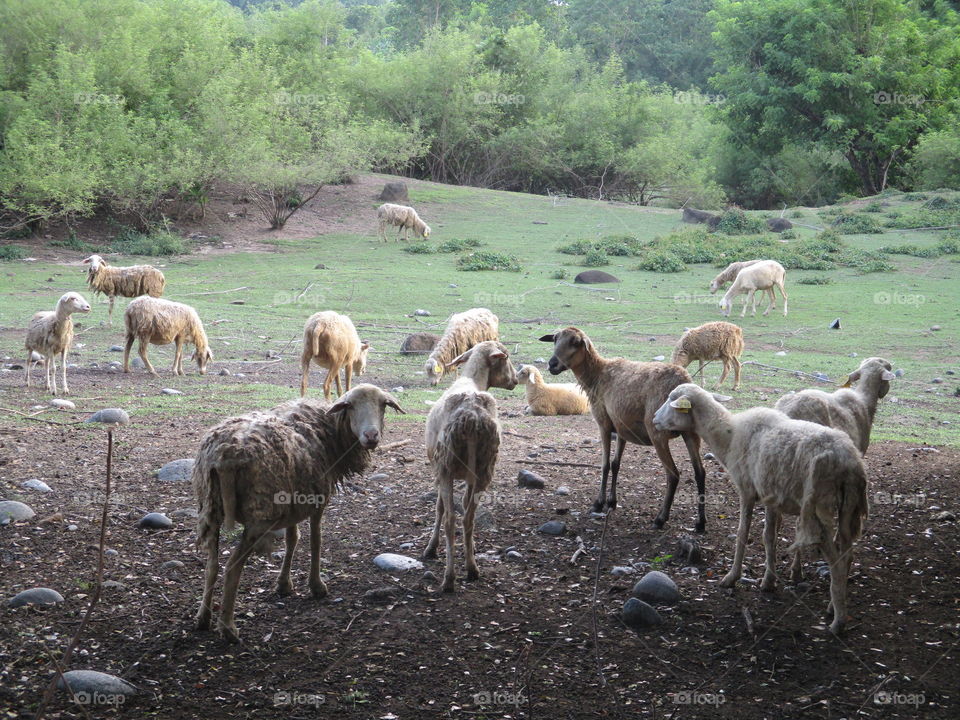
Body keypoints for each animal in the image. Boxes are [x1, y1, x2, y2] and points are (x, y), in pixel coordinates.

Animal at [193, 384, 405, 642]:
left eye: (383, 404)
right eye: (351, 405)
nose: (371, 436)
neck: (331, 429)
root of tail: (224, 455)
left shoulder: (292, 500)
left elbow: (293, 539)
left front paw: (284, 584)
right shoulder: (317, 500)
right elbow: (315, 540)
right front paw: (317, 586)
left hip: (210, 508)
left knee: (211, 565)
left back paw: (203, 618)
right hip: (259, 515)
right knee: (233, 565)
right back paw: (228, 627)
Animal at [423, 341, 518, 592]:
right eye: (506, 358)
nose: (516, 379)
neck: (472, 380)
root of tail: (473, 418)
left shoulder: (439, 470)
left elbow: (439, 508)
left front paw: (431, 547)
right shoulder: (467, 477)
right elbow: (464, 506)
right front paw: (470, 549)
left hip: (447, 465)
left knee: (450, 518)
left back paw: (449, 578)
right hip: (484, 468)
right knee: (468, 518)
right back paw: (472, 568)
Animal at [539, 327, 708, 531]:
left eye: (575, 342)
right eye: (555, 339)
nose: (552, 364)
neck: (596, 375)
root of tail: (683, 381)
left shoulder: (603, 423)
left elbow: (604, 465)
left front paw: (598, 503)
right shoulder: (621, 427)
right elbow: (615, 464)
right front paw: (612, 502)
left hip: (658, 432)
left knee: (673, 474)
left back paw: (660, 519)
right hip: (692, 433)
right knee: (700, 473)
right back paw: (700, 522)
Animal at [652, 384, 868, 634]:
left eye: (671, 400)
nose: (654, 419)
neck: (729, 436)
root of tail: (848, 461)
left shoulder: (746, 491)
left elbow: (742, 534)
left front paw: (731, 577)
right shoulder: (772, 497)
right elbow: (769, 537)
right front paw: (768, 581)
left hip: (817, 507)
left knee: (835, 561)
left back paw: (837, 622)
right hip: (848, 507)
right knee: (847, 555)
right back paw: (834, 606)